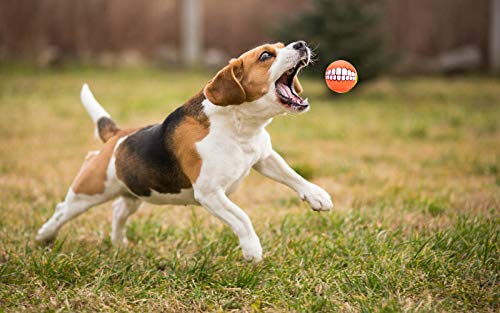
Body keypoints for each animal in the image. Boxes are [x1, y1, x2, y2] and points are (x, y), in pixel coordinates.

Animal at [37, 40, 334, 260]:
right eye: (265, 55)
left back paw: (119, 243)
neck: (240, 126)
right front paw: (252, 249)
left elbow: (292, 175)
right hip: (89, 191)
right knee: (62, 209)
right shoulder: (210, 193)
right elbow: (242, 217)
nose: (301, 44)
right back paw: (44, 236)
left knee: (119, 210)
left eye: (282, 46)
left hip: (134, 192)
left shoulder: (264, 157)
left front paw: (317, 196)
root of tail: (117, 136)